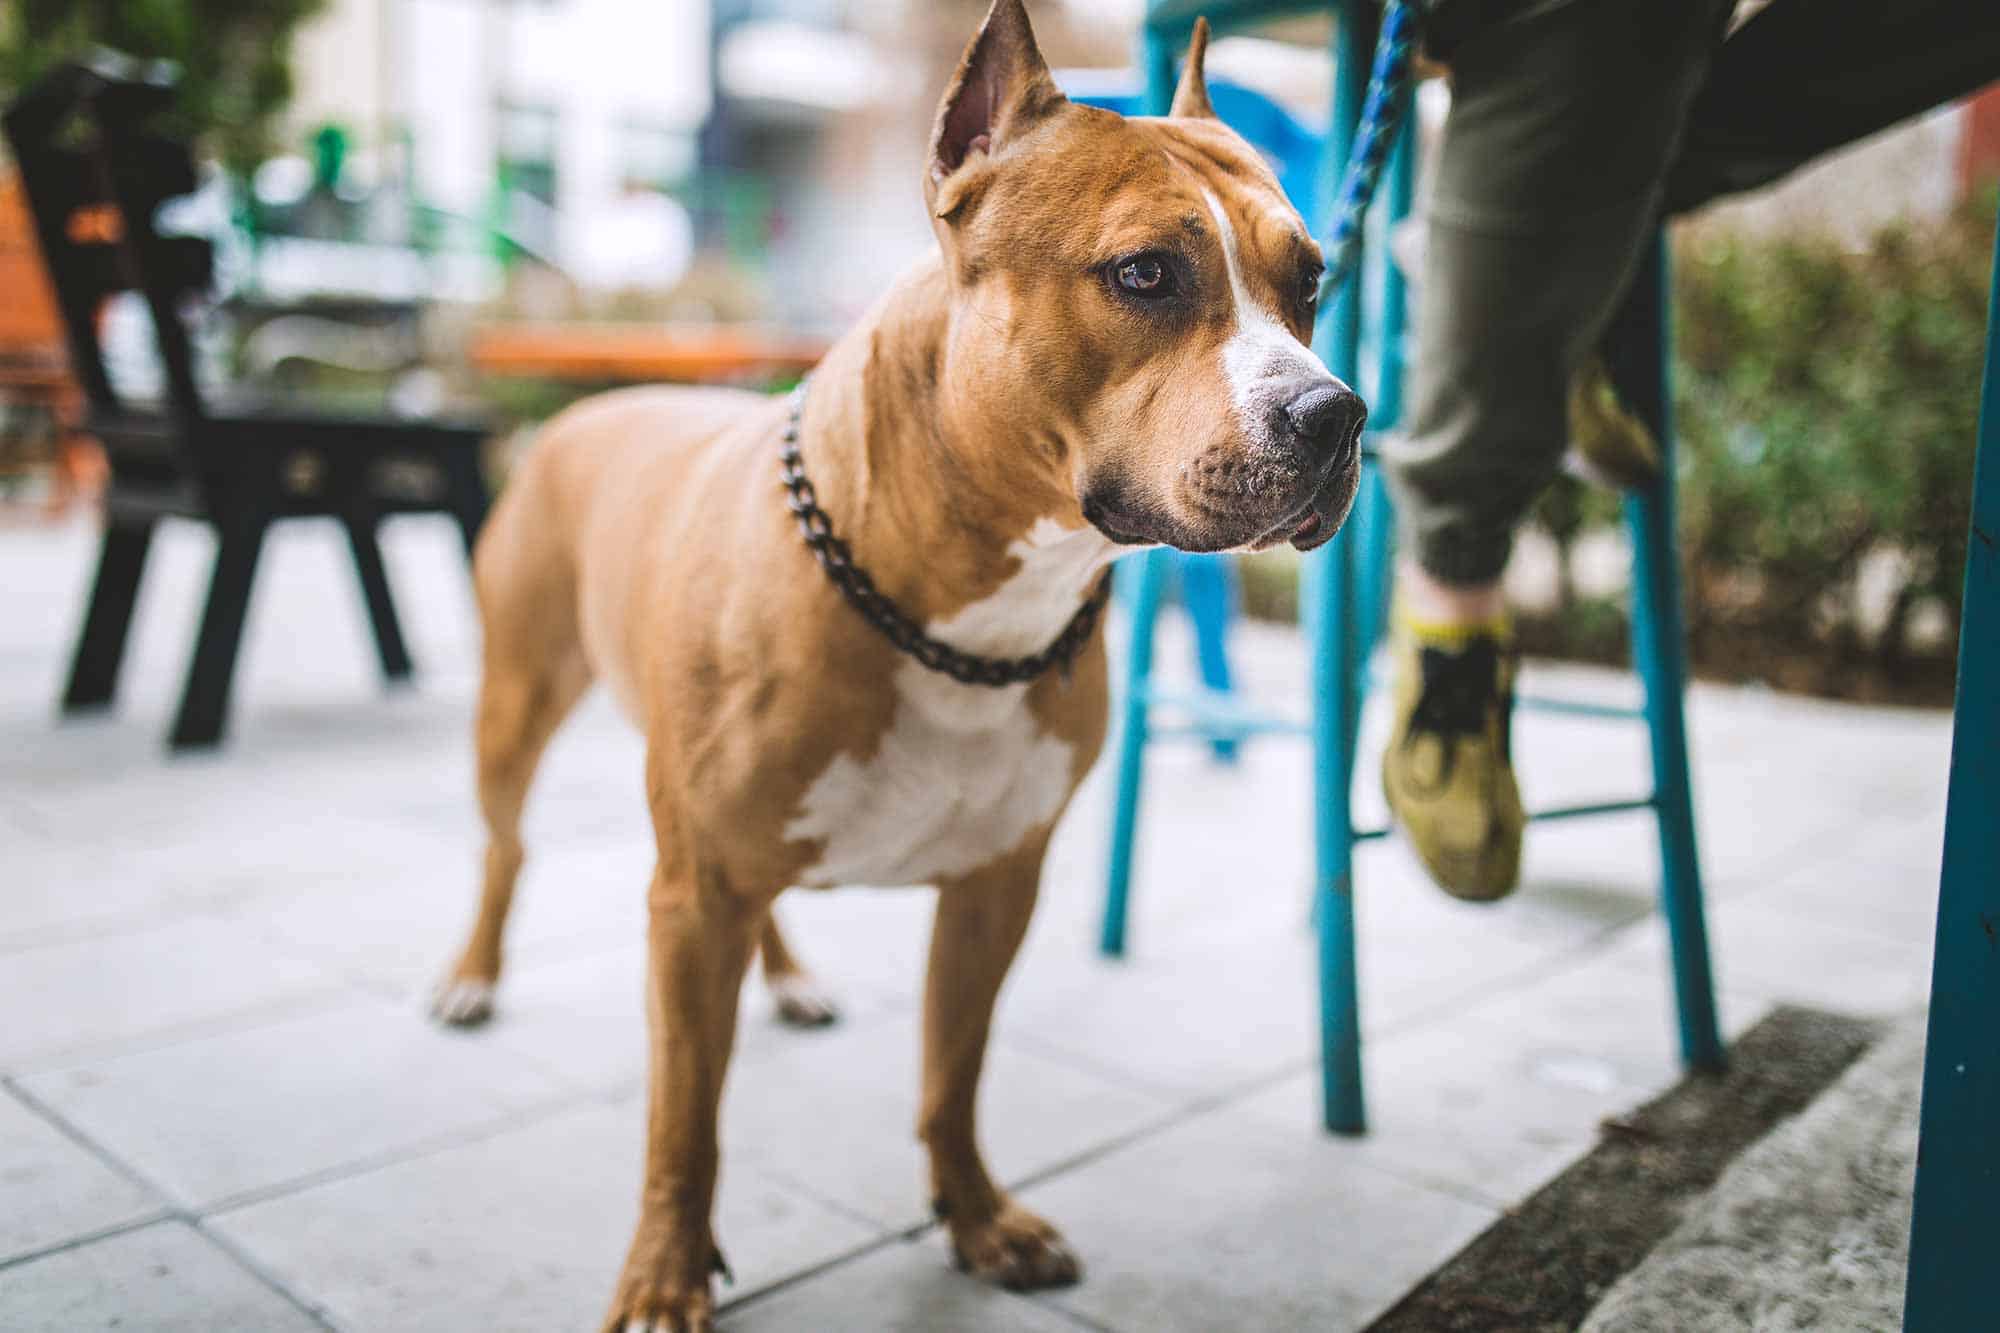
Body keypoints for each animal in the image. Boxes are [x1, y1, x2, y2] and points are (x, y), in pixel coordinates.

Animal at [430, 5, 1368, 1320]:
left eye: (1312, 279)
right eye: (1143, 273)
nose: (1337, 415)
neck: (965, 617)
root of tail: (594, 401)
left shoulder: (993, 884)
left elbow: (949, 1074)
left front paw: (974, 1219)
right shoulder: (691, 896)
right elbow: (682, 1123)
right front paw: (666, 1273)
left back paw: (785, 976)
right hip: (516, 709)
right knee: (505, 846)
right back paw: (473, 972)